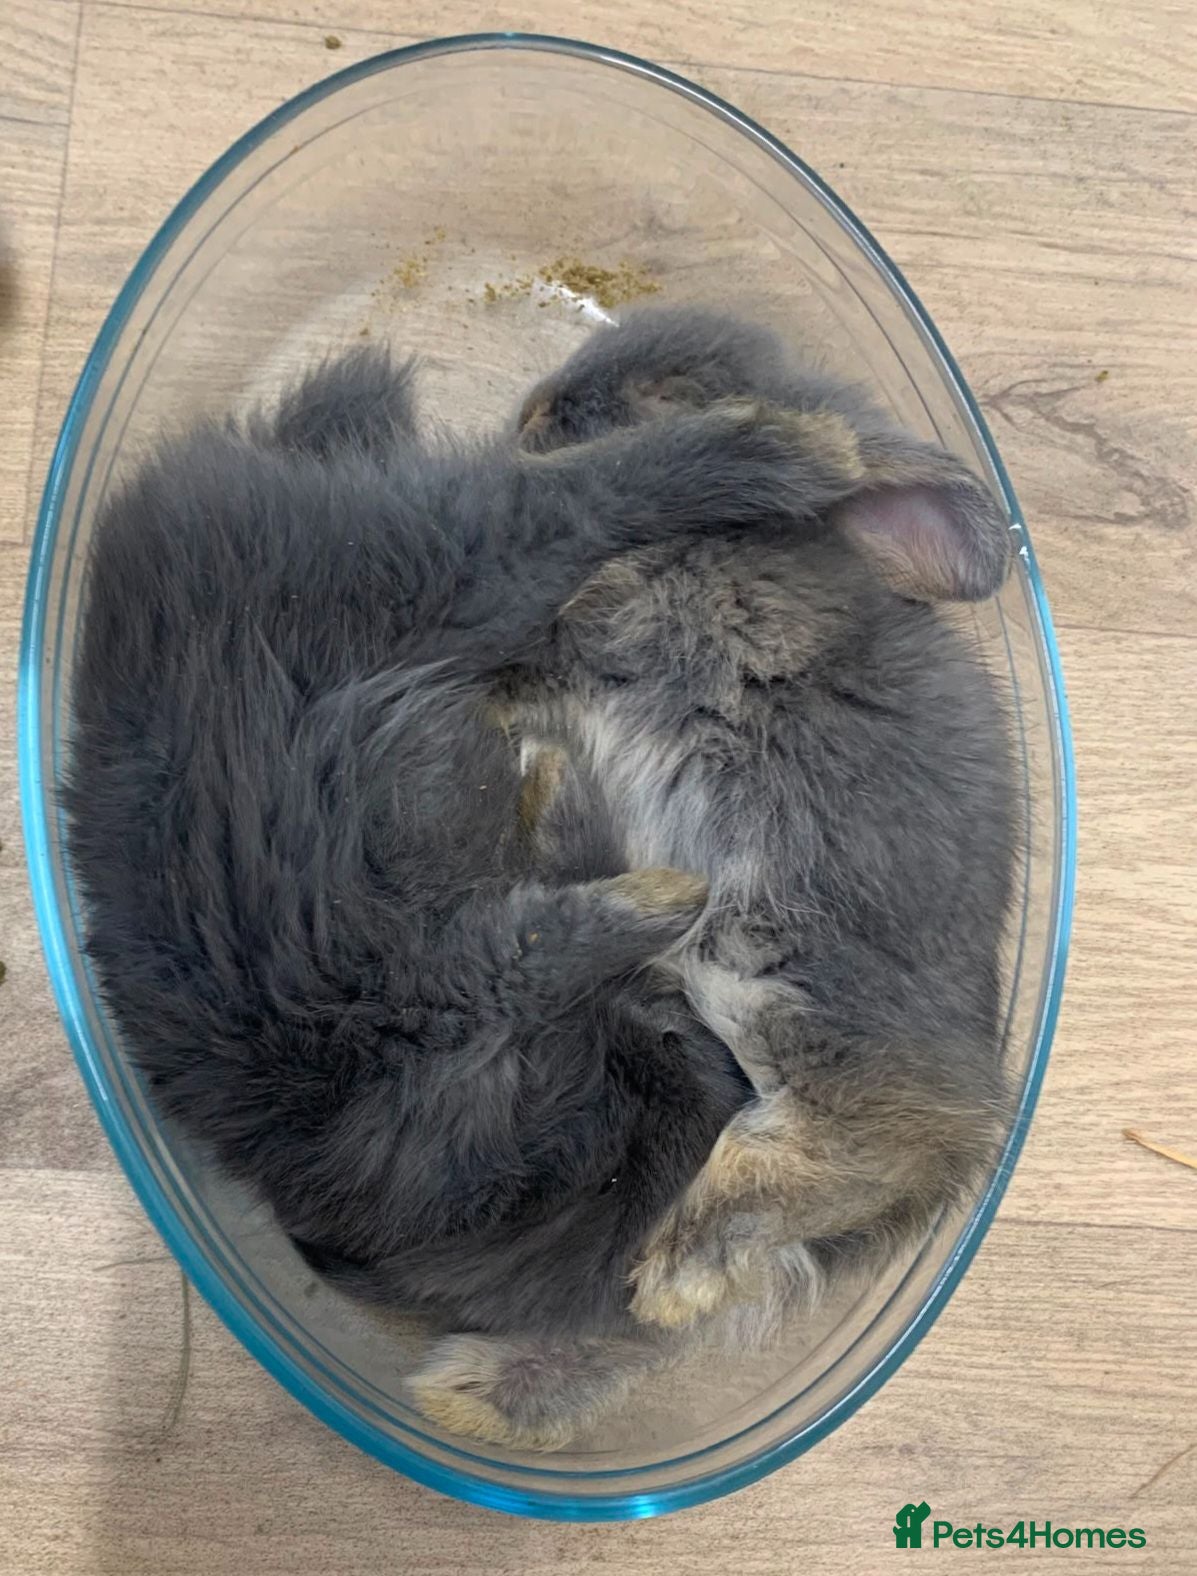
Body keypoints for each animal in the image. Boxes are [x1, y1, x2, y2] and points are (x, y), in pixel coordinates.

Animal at [64, 345, 887, 1406]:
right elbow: (553, 933)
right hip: (462, 576)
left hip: (446, 579)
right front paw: (661, 896)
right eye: (672, 1055)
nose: (712, 1055)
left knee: (566, 494)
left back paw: (795, 448)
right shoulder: (456, 981)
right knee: (576, 498)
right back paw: (791, 450)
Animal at [406, 308, 1019, 1444]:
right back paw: (478, 1397)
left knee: (873, 1131)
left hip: (768, 954)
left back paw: (675, 1269)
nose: (535, 412)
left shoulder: (608, 625)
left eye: (679, 389)